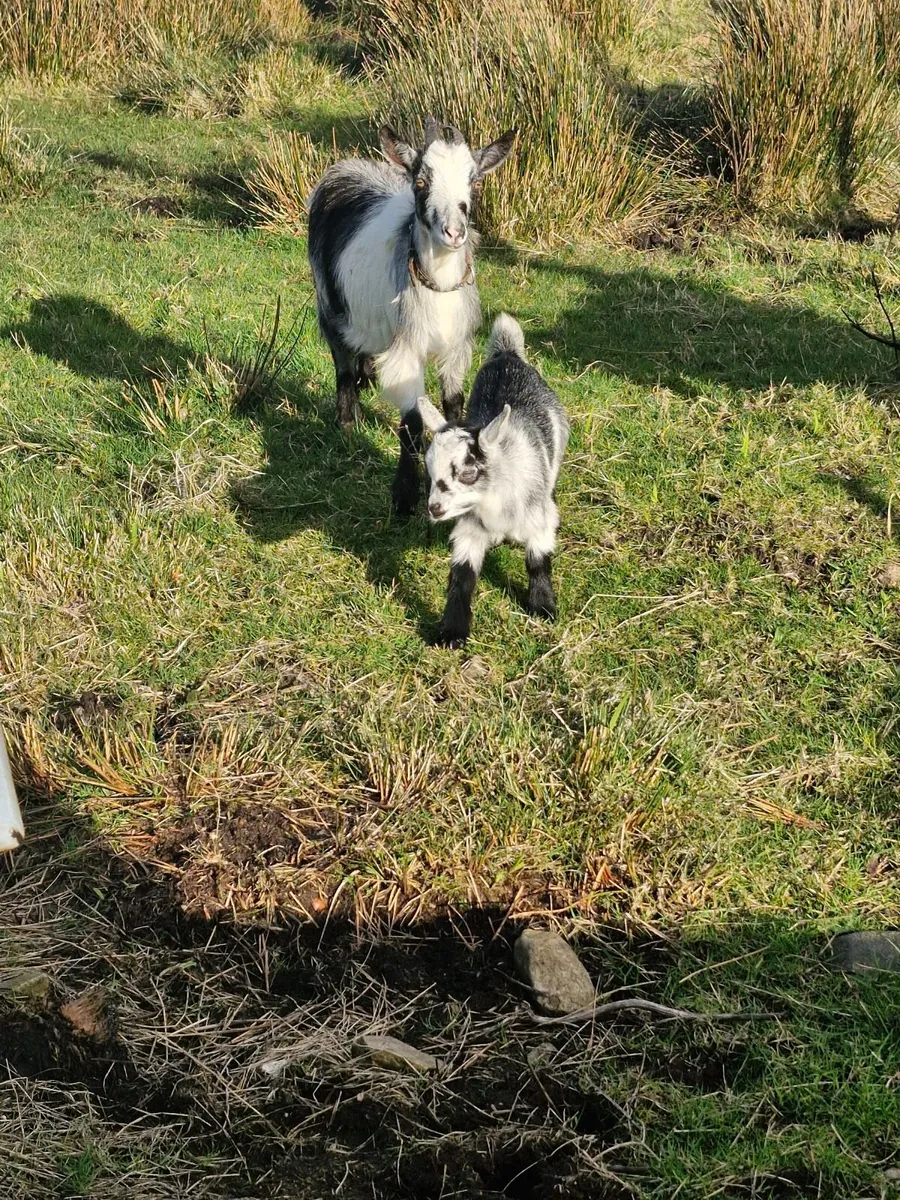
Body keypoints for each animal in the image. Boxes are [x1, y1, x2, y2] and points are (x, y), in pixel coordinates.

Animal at [307, 117, 515, 515]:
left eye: (475, 181)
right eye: (420, 182)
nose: (454, 232)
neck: (438, 288)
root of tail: (347, 166)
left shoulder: (456, 349)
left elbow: (454, 407)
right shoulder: (406, 354)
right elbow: (414, 425)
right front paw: (403, 497)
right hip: (329, 303)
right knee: (342, 365)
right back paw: (346, 423)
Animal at [418, 313, 569, 648]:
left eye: (467, 472)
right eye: (428, 472)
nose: (434, 509)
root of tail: (507, 355)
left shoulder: (537, 521)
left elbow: (538, 561)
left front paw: (543, 607)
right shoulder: (470, 529)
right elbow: (462, 576)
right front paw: (452, 632)